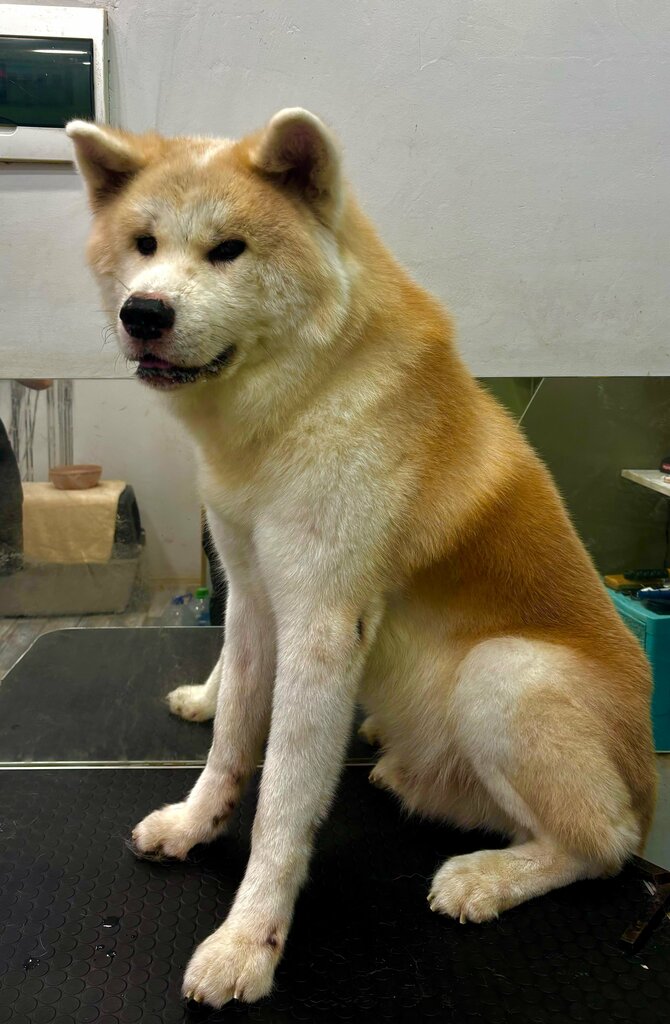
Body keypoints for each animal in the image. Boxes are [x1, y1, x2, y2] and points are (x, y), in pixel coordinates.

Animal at [68, 108, 656, 1008]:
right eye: (143, 243)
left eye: (229, 249)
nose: (145, 312)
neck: (301, 402)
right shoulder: (253, 598)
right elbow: (231, 743)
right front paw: (197, 823)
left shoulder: (321, 624)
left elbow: (281, 801)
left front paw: (249, 942)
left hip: (508, 673)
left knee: (607, 846)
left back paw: (488, 877)